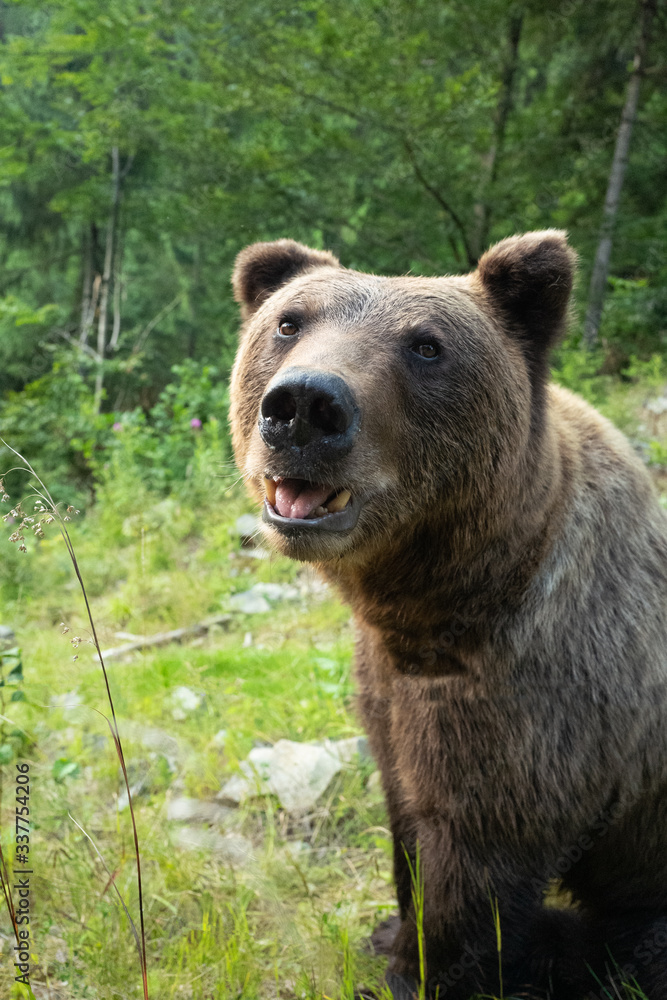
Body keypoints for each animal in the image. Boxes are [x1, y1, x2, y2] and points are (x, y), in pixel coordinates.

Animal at [229, 231, 667, 1000]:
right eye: (289, 321)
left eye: (426, 345)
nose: (305, 405)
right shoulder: (389, 690)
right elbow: (406, 817)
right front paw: (390, 933)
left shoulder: (541, 704)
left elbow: (473, 863)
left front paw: (419, 969)